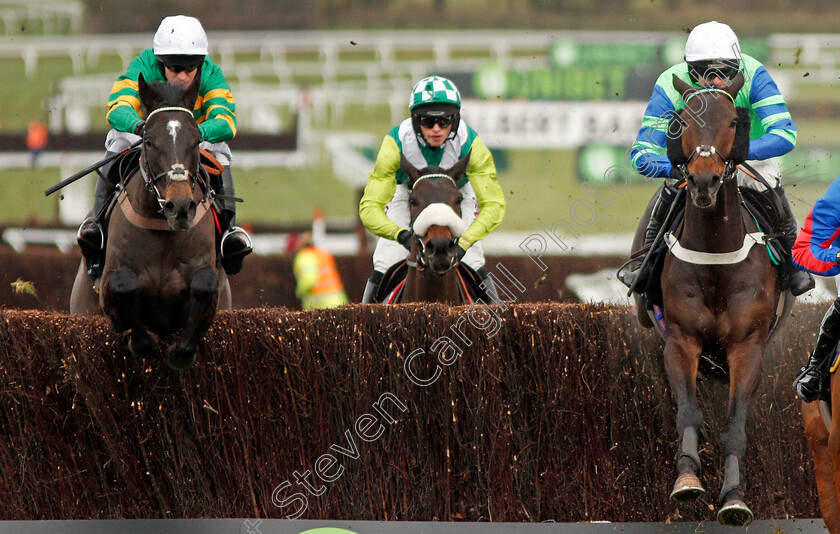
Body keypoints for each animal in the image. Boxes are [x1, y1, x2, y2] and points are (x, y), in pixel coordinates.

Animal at [70, 72, 230, 372]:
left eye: (196, 140)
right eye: (149, 141)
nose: (180, 206)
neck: (162, 228)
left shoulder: (208, 278)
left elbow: (204, 284)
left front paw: (181, 353)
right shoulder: (109, 286)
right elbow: (124, 284)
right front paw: (143, 342)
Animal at [632, 72, 796, 528]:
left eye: (733, 123)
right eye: (680, 122)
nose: (703, 181)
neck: (716, 257)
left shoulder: (747, 347)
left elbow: (735, 425)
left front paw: (735, 498)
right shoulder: (680, 340)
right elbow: (688, 412)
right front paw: (687, 478)